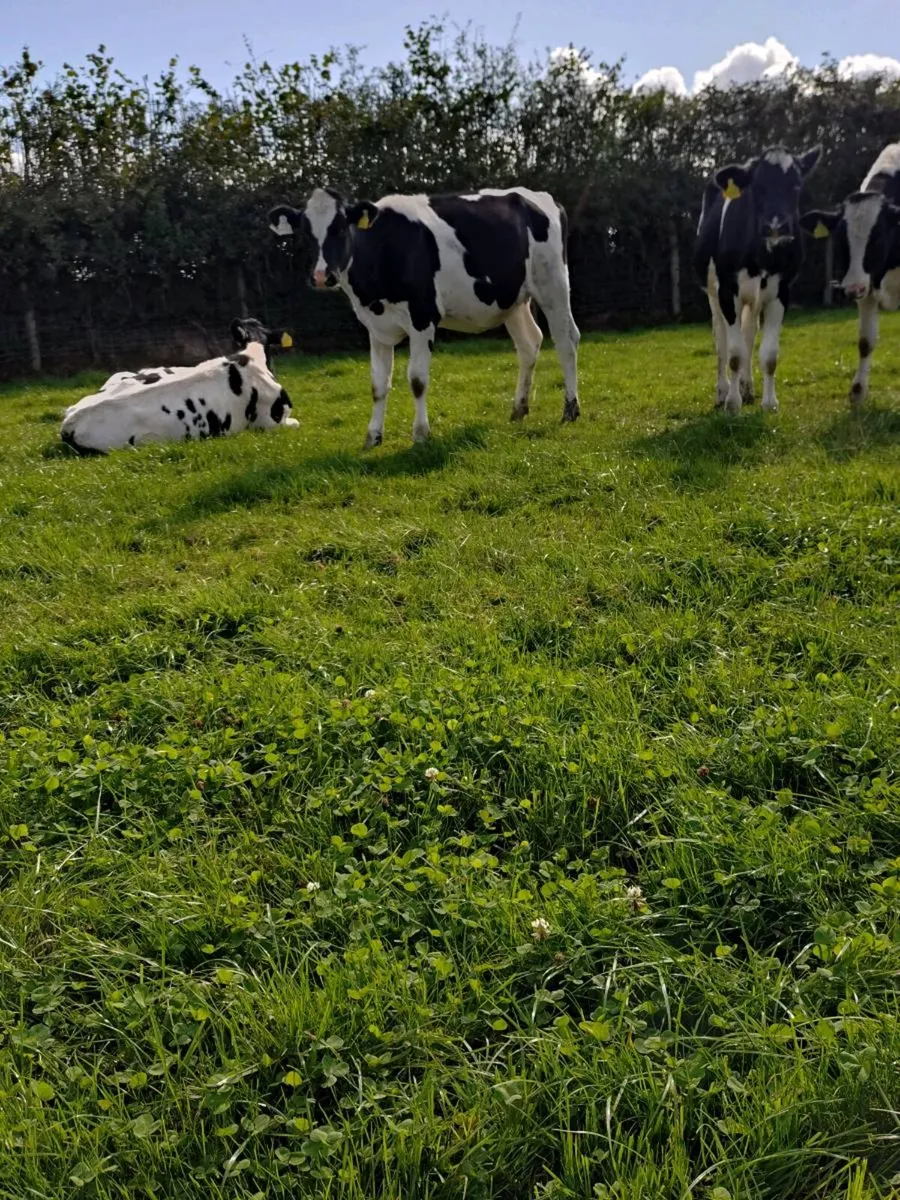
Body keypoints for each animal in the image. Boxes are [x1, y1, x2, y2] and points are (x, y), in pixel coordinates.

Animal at [268, 187, 580, 449]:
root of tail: (535, 195)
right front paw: (373, 435)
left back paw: (570, 410)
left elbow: (417, 380)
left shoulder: (423, 317)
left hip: (553, 284)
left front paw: (420, 434)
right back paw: (519, 409)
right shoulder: (375, 328)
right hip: (513, 300)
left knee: (566, 341)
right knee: (529, 344)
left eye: (341, 228)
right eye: (304, 233)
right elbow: (377, 385)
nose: (322, 276)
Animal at [694, 144, 822, 413]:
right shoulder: (727, 291)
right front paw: (732, 403)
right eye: (757, 186)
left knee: (749, 335)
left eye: (796, 185)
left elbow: (769, 355)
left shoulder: (781, 292)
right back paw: (723, 391)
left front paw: (770, 402)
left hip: (753, 299)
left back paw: (747, 387)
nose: (776, 226)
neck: (762, 257)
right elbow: (733, 354)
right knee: (721, 339)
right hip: (712, 293)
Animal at [800, 142, 900, 406]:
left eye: (877, 237)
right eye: (840, 241)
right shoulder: (868, 289)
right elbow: (866, 341)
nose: (853, 288)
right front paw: (857, 392)